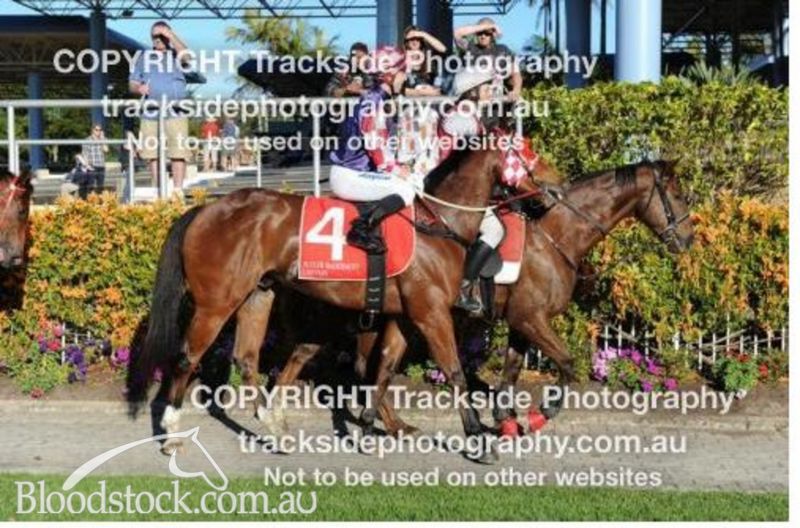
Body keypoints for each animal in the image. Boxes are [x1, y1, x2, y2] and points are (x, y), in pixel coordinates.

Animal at [127, 141, 534, 459]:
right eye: (526, 155)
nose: (544, 195)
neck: (439, 223)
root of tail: (204, 210)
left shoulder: (407, 313)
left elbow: (384, 369)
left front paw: (372, 430)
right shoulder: (430, 313)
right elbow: (454, 372)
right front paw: (479, 439)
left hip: (258, 293)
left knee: (246, 357)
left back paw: (274, 429)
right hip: (216, 304)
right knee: (186, 358)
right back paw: (171, 435)